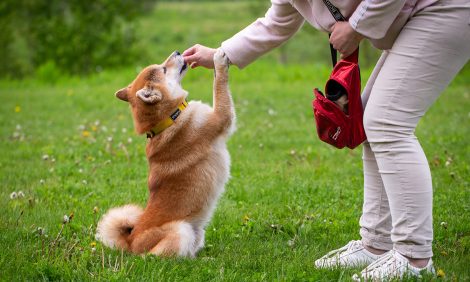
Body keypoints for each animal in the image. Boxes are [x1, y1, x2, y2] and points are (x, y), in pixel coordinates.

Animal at [95, 49, 235, 258]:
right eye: (163, 69)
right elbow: (219, 84)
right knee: (158, 257)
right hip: (181, 230)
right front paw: (218, 60)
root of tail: (130, 243)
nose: (177, 52)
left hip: (196, 233)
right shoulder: (221, 117)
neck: (170, 119)